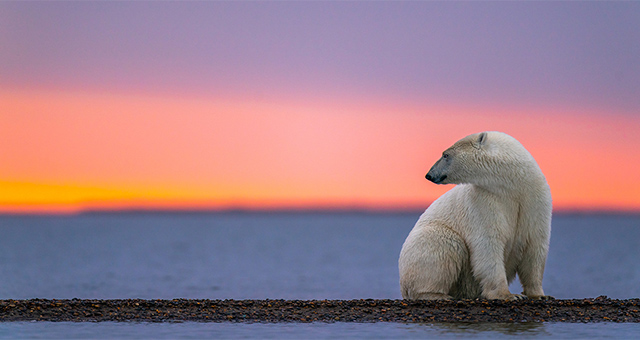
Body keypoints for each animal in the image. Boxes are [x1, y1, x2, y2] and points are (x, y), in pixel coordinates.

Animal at [398, 131, 552, 300]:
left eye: (445, 155)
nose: (429, 175)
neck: (513, 186)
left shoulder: (534, 201)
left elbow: (535, 247)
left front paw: (539, 295)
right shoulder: (483, 201)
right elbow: (488, 244)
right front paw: (508, 295)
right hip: (428, 240)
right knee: (444, 245)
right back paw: (436, 294)